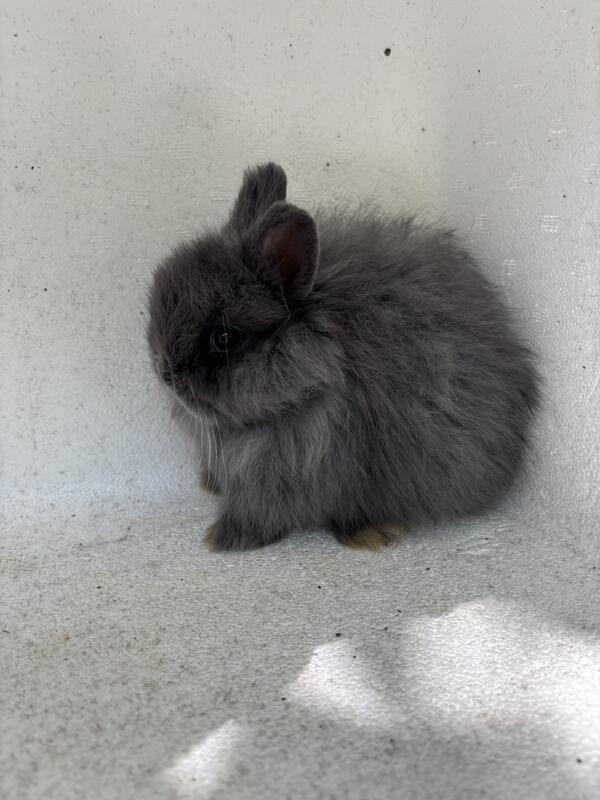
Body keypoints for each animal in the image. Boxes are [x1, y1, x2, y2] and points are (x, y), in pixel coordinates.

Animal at [146, 162, 540, 551]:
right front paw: (210, 486)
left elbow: (263, 511)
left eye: (225, 338)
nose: (165, 372)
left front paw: (223, 538)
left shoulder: (292, 464)